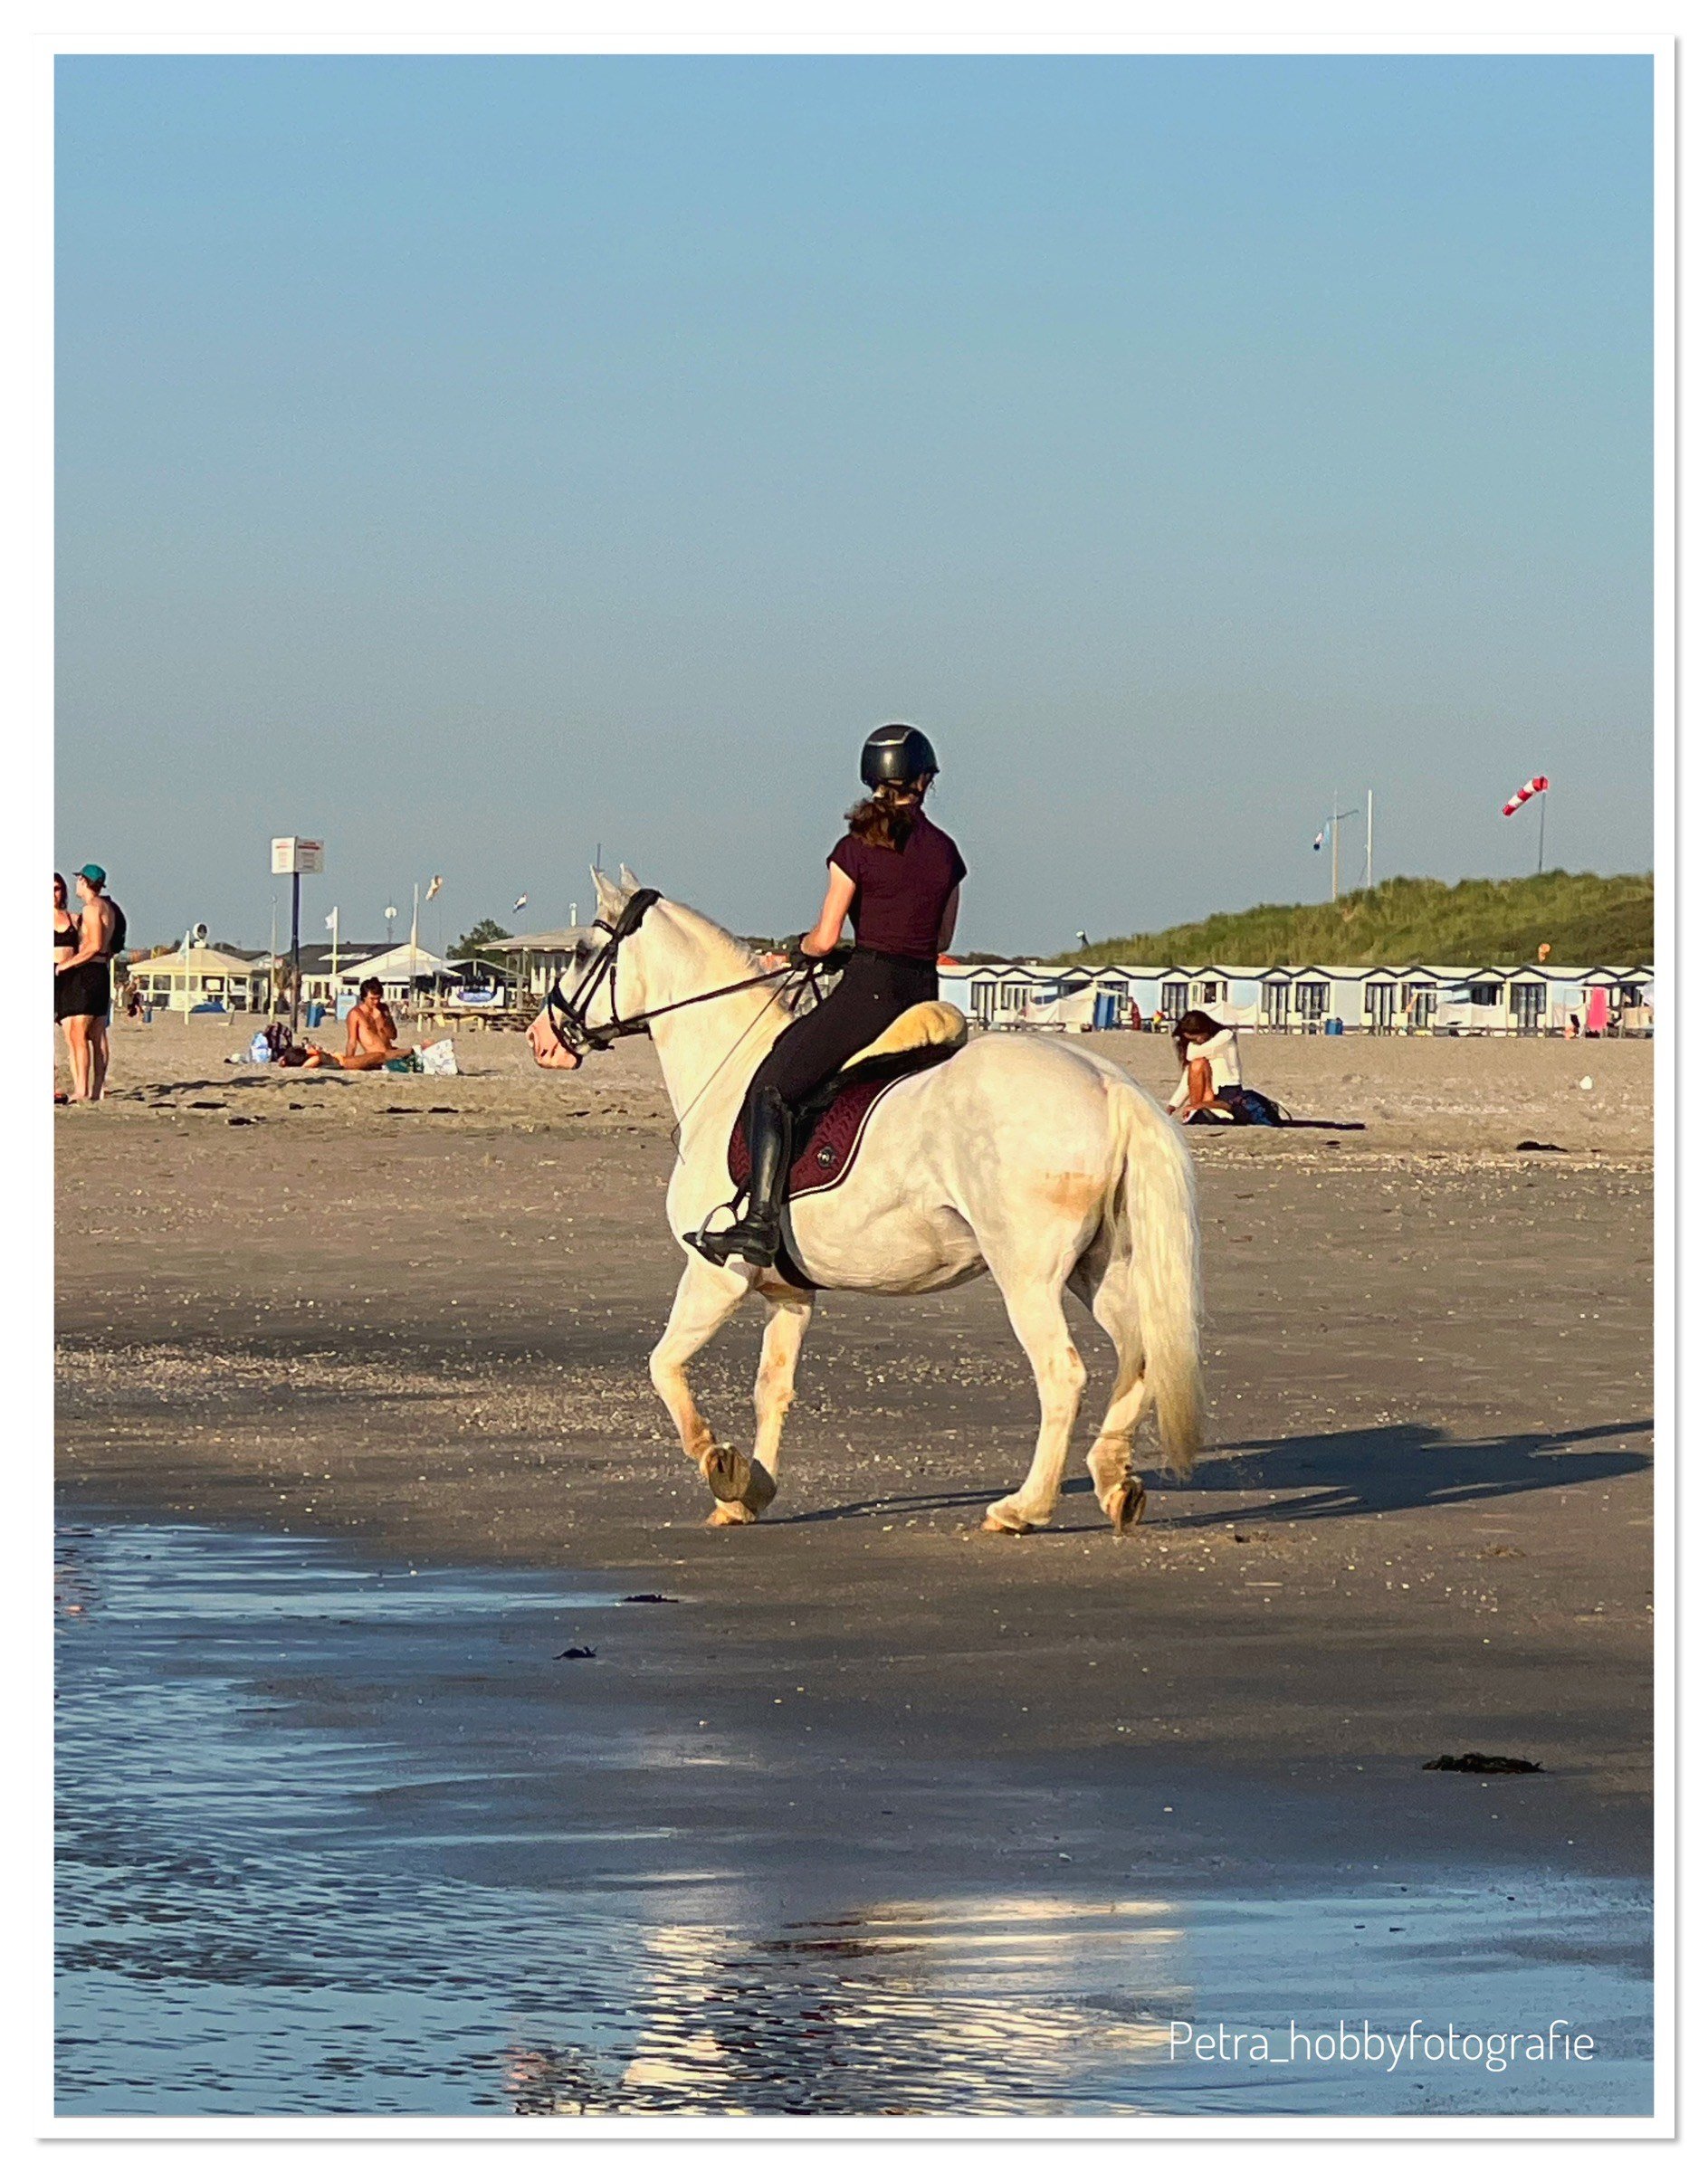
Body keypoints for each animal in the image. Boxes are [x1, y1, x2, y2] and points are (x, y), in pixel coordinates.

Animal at [530, 869, 1205, 1534]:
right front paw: (750, 1491)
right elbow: (771, 1389)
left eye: (582, 951)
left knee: (1062, 1374)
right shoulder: (788, 1293)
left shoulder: (715, 1275)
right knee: (1141, 1354)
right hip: (1099, 1268)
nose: (542, 1040)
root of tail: (1107, 1083)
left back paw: (1022, 1507)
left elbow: (663, 1365)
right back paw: (1114, 1481)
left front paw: (720, 1465)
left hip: (1027, 1275)